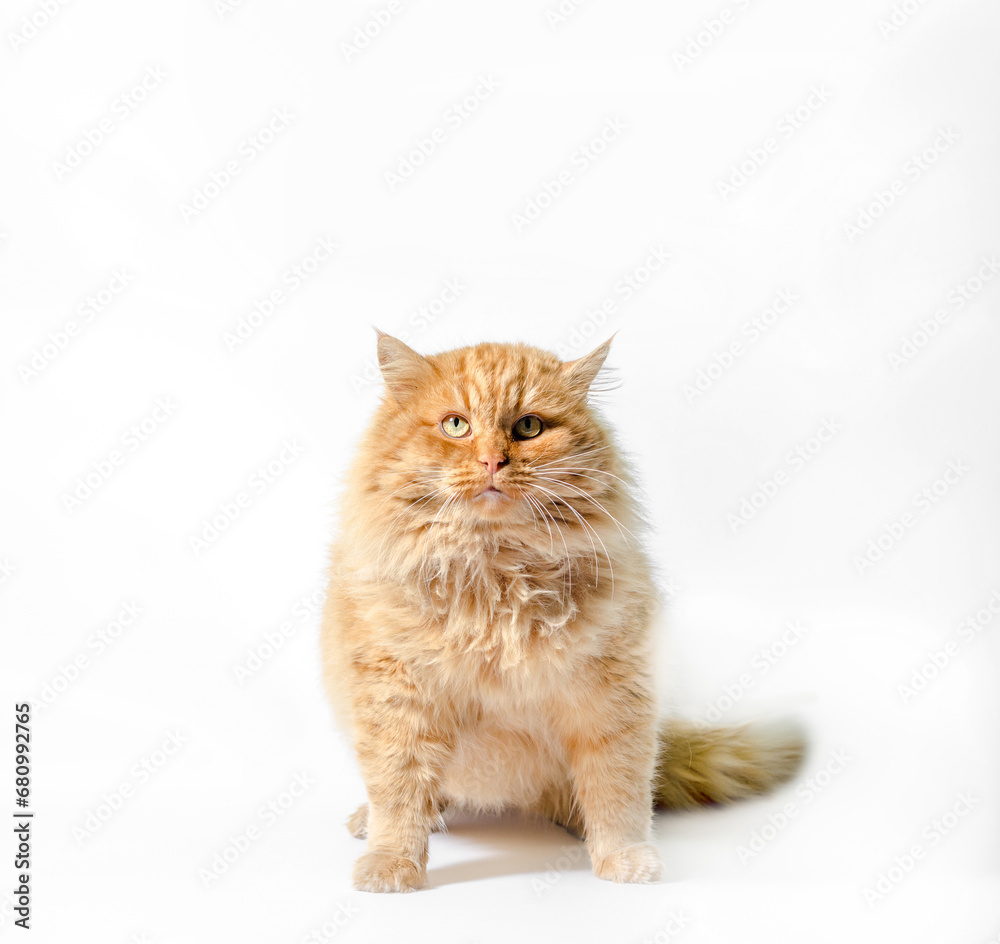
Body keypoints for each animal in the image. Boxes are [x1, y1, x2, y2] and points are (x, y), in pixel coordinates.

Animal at [320, 332, 804, 892]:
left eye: (528, 427)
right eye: (456, 425)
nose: (492, 462)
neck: (496, 573)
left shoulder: (612, 700)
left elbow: (618, 793)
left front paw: (624, 858)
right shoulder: (396, 699)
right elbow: (399, 794)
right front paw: (391, 864)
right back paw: (371, 820)